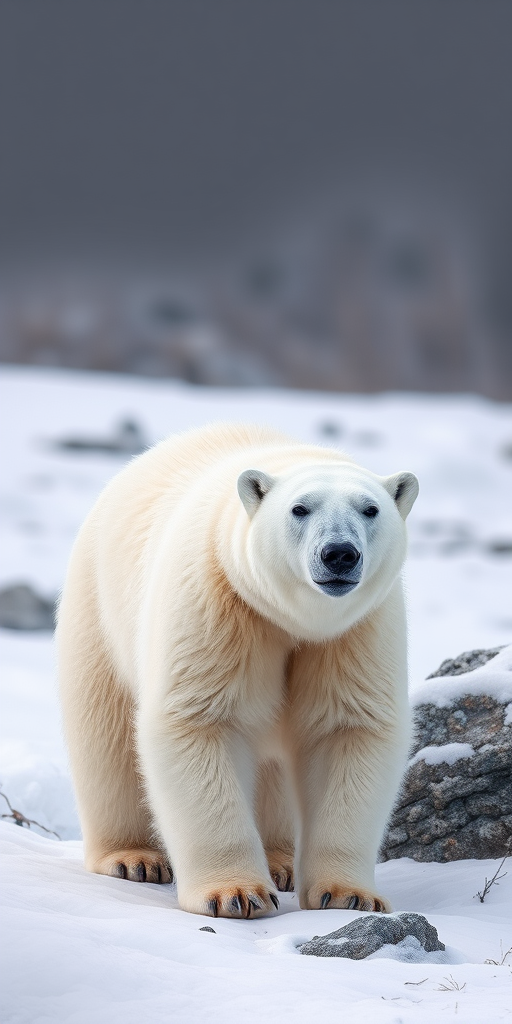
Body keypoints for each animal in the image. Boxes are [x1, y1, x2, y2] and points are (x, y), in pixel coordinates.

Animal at [57, 422, 418, 919]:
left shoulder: (355, 632)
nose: (339, 554)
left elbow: (347, 730)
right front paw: (237, 894)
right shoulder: (218, 601)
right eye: (299, 508)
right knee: (105, 737)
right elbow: (199, 722)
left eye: (371, 509)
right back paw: (134, 858)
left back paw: (281, 862)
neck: (290, 620)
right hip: (99, 611)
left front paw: (349, 895)